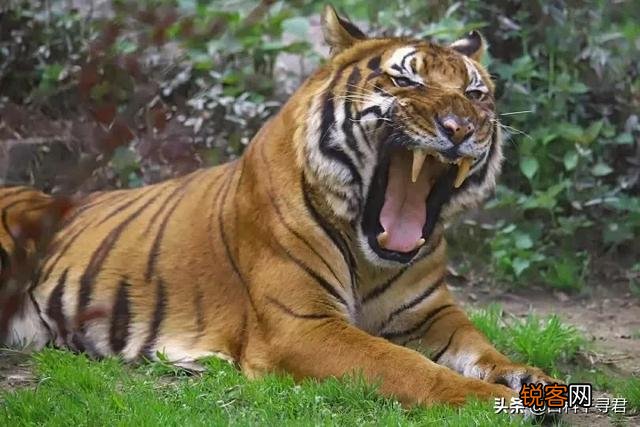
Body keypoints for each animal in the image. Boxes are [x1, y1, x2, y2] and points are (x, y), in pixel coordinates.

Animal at [1, 6, 556, 407]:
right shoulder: (302, 325)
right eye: (407, 81)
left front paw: (529, 376)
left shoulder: (430, 313)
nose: (460, 128)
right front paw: (489, 400)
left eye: (476, 94)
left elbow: (479, 344)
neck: (372, 258)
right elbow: (406, 365)